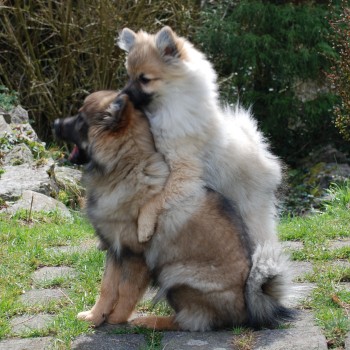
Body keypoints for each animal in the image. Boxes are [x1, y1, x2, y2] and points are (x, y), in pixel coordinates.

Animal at [53, 91, 292, 330]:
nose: (54, 123)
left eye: (80, 119)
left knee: (190, 320)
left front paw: (116, 320)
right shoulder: (116, 249)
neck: (126, 166)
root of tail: (246, 309)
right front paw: (95, 316)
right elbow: (107, 287)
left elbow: (126, 291)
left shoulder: (136, 256)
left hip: (174, 273)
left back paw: (150, 321)